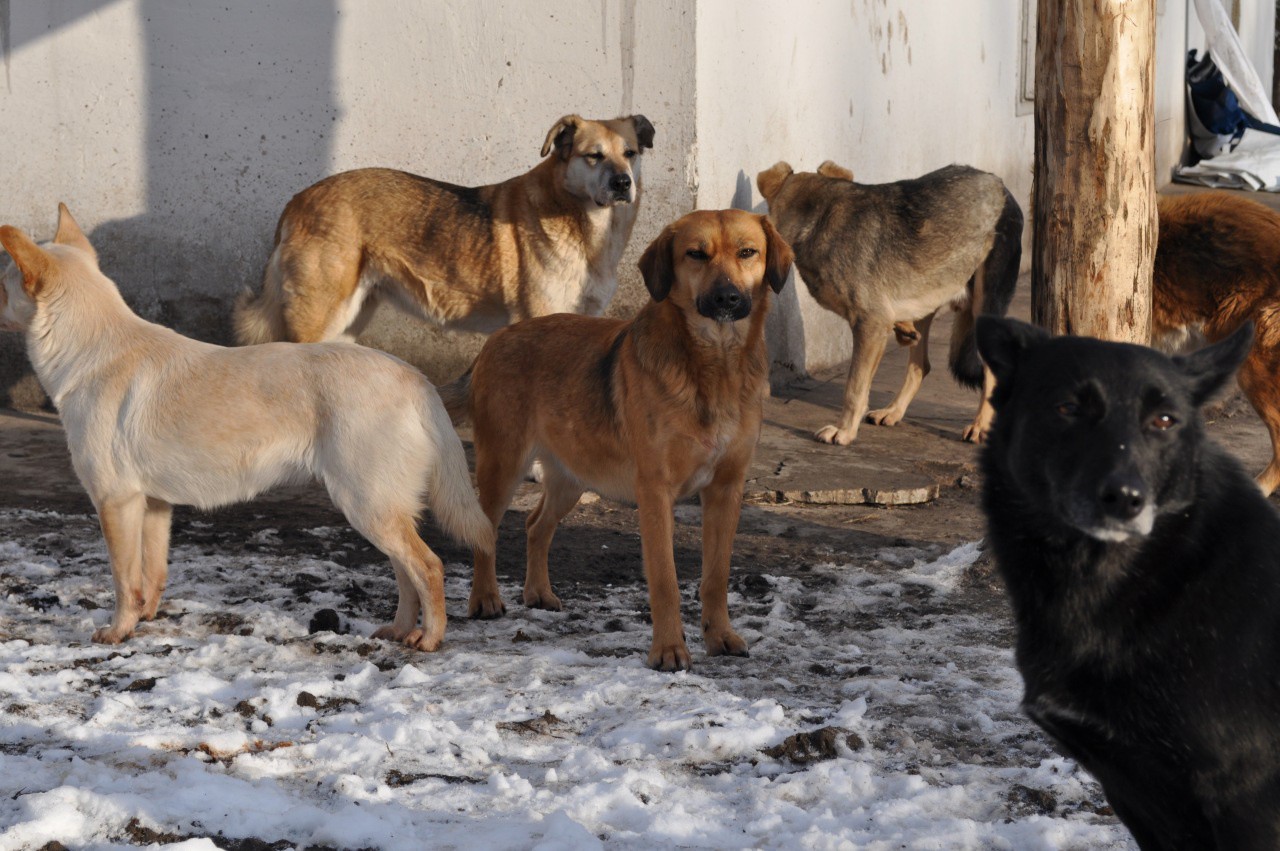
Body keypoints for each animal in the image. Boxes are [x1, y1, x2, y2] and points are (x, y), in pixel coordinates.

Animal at [0, 206, 491, 650]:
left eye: (2, 284)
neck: (93, 349)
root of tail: (415, 378)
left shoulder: (115, 501)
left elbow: (124, 579)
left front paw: (118, 631)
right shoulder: (154, 505)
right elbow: (152, 575)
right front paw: (145, 620)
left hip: (367, 504)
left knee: (428, 567)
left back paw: (430, 639)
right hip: (380, 509)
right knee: (406, 573)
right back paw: (401, 631)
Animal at [234, 113, 655, 345]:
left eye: (630, 153)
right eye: (593, 156)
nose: (623, 183)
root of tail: (297, 200)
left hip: (349, 321)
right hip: (319, 318)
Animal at [445, 207, 793, 670]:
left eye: (748, 252)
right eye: (696, 254)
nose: (727, 299)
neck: (714, 364)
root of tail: (494, 342)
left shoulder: (726, 490)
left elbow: (716, 576)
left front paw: (719, 636)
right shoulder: (655, 492)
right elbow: (664, 579)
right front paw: (668, 650)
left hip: (572, 476)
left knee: (537, 526)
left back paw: (538, 593)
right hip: (503, 465)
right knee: (487, 530)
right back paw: (485, 599)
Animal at [757, 156, 1018, 445]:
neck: (816, 218)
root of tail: (1000, 184)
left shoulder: (869, 326)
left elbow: (854, 388)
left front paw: (844, 431)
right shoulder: (877, 327)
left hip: (985, 308)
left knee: (992, 371)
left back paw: (979, 425)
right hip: (927, 295)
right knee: (921, 365)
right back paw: (893, 410)